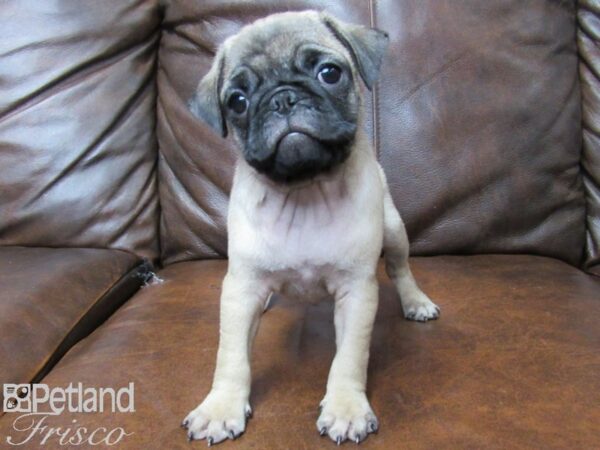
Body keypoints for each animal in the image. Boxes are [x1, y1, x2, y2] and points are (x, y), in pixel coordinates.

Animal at [180, 10, 438, 446]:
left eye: (329, 73)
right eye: (237, 101)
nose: (283, 98)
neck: (304, 192)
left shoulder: (356, 293)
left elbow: (349, 357)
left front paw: (346, 408)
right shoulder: (240, 290)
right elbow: (231, 356)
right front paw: (221, 407)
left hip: (393, 229)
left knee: (400, 268)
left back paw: (415, 301)